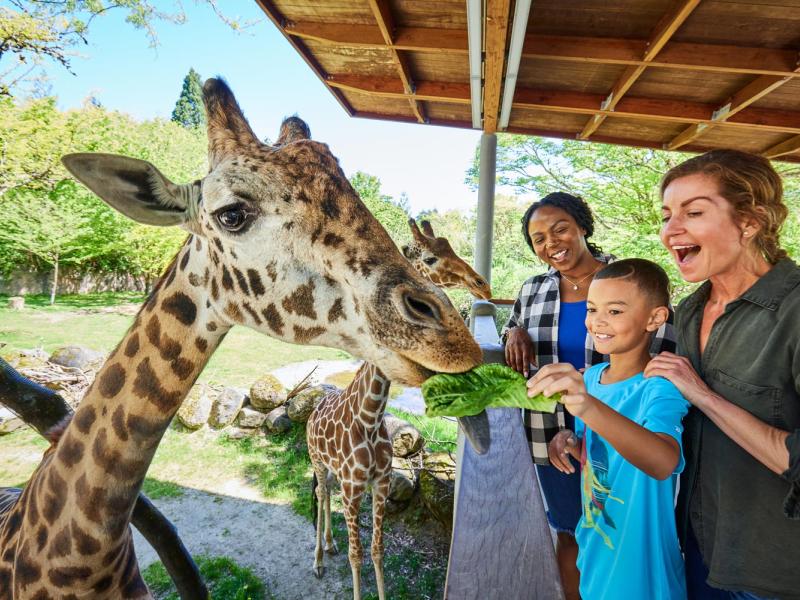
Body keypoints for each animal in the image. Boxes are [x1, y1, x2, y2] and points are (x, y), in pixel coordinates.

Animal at [308, 219, 490, 600]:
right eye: (432, 257)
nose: (480, 282)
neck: (370, 413)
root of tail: (313, 410)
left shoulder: (379, 484)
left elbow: (376, 549)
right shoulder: (354, 488)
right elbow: (357, 554)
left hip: (331, 471)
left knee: (325, 493)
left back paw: (329, 545)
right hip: (317, 461)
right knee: (320, 493)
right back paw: (317, 561)